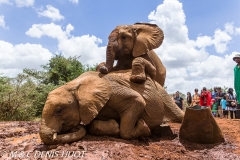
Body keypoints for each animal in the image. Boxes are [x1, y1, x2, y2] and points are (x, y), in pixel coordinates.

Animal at [39, 70, 184, 145]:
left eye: (59, 110)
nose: (74, 127)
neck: (75, 85)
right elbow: (93, 125)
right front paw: (114, 126)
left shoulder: (112, 91)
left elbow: (137, 100)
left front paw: (144, 127)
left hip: (162, 92)